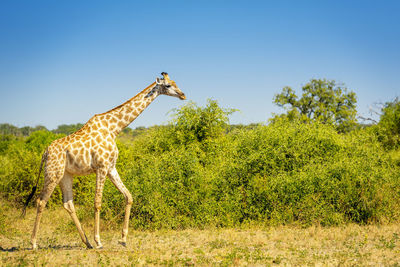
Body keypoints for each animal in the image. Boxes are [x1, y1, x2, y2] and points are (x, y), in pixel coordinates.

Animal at [21, 72, 184, 250]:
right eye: (168, 85)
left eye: (175, 82)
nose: (183, 95)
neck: (114, 129)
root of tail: (45, 152)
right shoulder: (101, 167)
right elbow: (97, 202)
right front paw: (99, 241)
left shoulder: (111, 167)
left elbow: (128, 196)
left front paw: (123, 239)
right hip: (52, 173)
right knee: (41, 201)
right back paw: (34, 243)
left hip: (65, 175)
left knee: (68, 204)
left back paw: (86, 242)